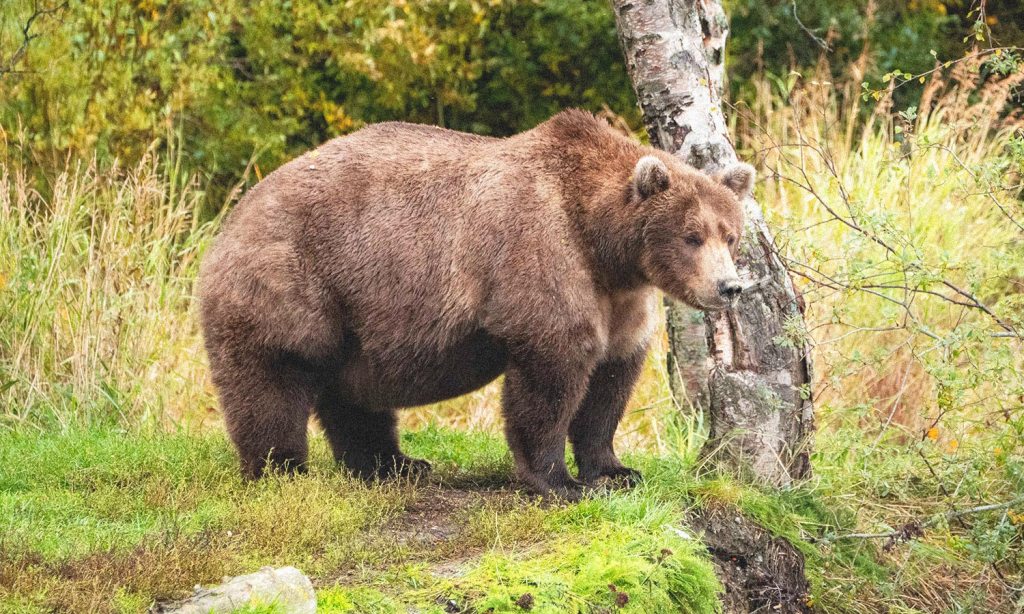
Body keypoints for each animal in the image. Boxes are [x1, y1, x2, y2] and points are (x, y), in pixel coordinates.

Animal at [198, 109, 753, 500]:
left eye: (731, 234)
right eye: (691, 236)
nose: (729, 287)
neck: (603, 244)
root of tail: (230, 220)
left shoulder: (622, 298)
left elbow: (611, 380)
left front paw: (616, 470)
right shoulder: (541, 256)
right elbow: (551, 375)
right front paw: (561, 481)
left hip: (357, 316)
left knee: (353, 393)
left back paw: (396, 464)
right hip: (291, 283)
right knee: (271, 381)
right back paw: (282, 470)